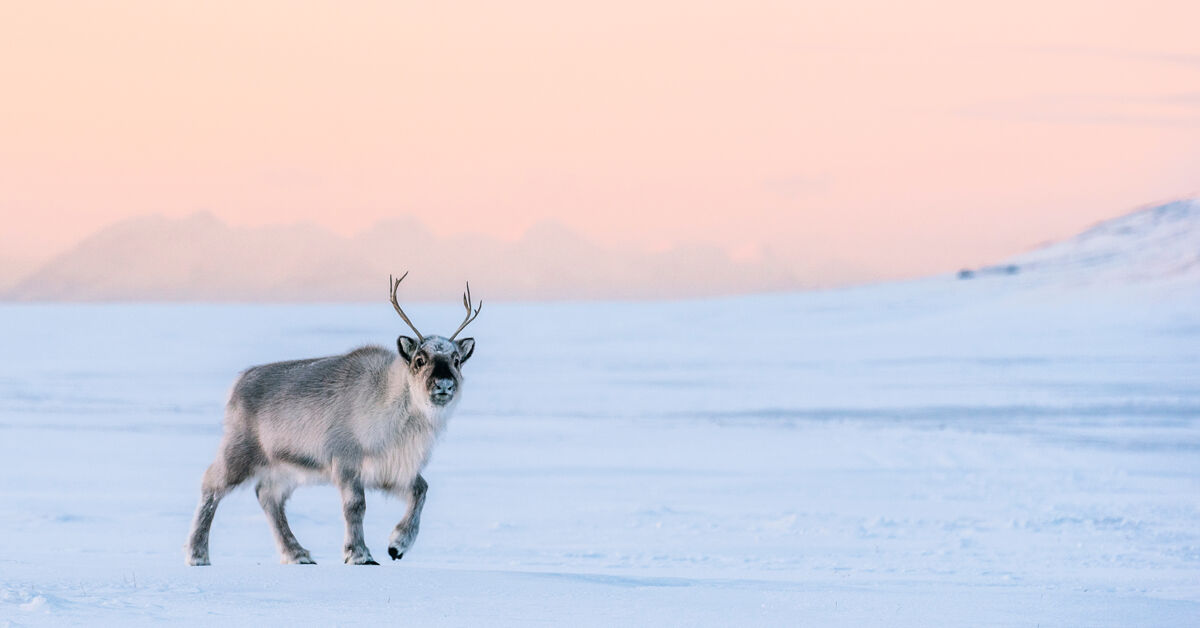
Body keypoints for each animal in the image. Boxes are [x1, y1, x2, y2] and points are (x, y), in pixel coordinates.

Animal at [185, 273, 481, 566]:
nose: (444, 384)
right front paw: (359, 553)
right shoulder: (346, 461)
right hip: (239, 451)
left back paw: (297, 553)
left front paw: (398, 545)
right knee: (211, 485)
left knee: (268, 496)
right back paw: (197, 553)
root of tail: (236, 385)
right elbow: (355, 506)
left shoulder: (393, 468)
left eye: (456, 360)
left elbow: (422, 490)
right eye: (420, 359)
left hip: (285, 467)